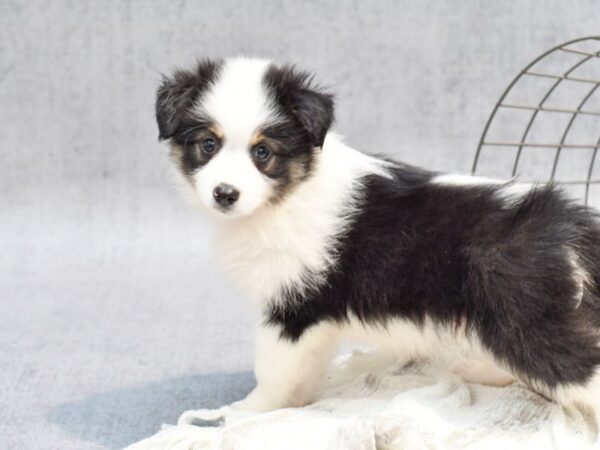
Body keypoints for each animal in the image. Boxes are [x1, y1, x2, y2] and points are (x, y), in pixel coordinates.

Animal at [156, 56, 600, 422]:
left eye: (262, 152)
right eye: (208, 144)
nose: (224, 194)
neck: (289, 196)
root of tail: (568, 222)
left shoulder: (293, 310)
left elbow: (273, 371)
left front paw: (247, 412)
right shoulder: (312, 316)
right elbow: (306, 368)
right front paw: (301, 400)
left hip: (527, 318)